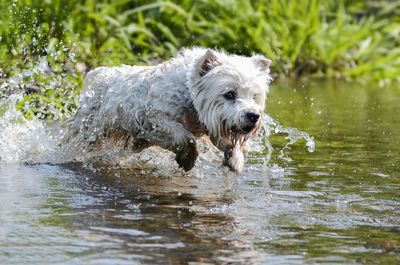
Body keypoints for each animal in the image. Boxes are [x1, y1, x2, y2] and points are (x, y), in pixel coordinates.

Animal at [65, 47, 272, 173]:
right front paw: (187, 160)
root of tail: (96, 74)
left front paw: (236, 161)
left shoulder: (212, 125)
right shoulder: (155, 120)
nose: (253, 116)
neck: (190, 96)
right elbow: (185, 137)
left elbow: (229, 143)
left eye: (254, 96)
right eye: (229, 94)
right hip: (90, 130)